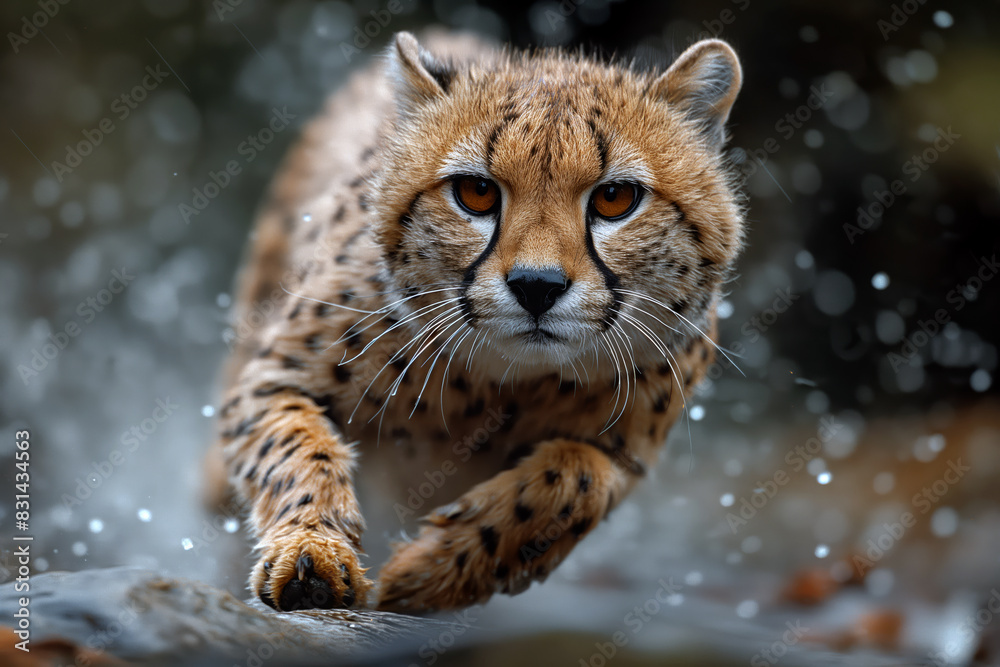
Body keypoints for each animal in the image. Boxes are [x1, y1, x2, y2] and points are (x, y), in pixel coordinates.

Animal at [205, 30, 745, 613]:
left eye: (615, 197)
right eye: (477, 193)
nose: (537, 286)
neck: (497, 385)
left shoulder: (627, 452)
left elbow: (576, 476)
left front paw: (428, 571)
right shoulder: (271, 380)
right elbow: (296, 450)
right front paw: (312, 552)